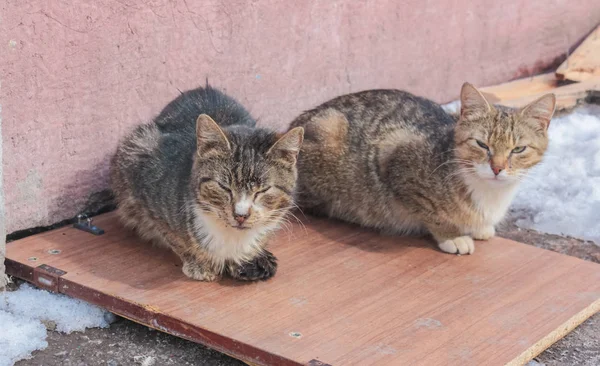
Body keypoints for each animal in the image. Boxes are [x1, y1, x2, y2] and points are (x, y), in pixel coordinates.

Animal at [111, 85, 304, 280]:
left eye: (262, 191)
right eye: (224, 187)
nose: (241, 215)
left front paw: (246, 258)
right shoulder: (143, 179)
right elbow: (171, 235)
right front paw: (198, 263)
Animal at [288, 83, 556, 254]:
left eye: (518, 149)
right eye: (482, 144)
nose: (497, 168)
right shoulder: (394, 156)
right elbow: (431, 212)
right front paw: (452, 236)